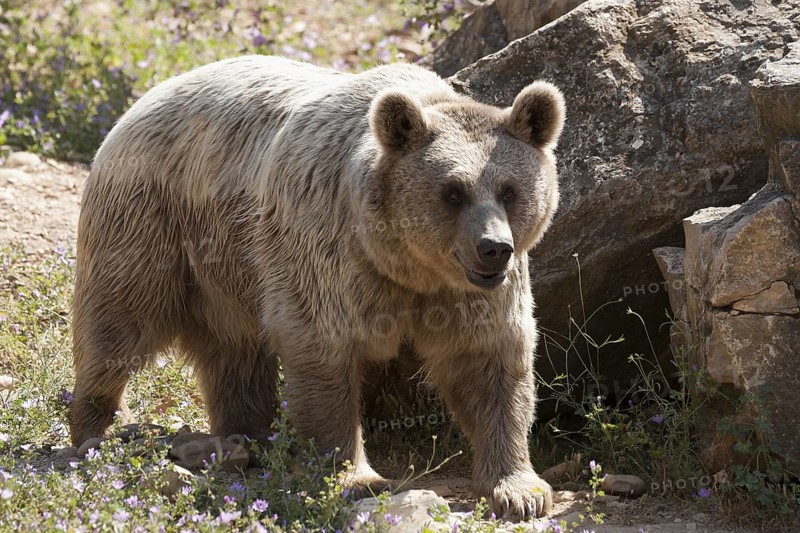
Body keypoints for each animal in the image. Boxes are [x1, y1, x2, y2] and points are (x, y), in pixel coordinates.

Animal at [70, 55, 565, 519]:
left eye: (509, 190)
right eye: (453, 191)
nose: (493, 248)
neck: (406, 267)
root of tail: (147, 97)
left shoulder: (468, 294)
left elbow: (488, 363)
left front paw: (519, 489)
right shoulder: (326, 250)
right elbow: (322, 350)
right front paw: (355, 477)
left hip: (229, 272)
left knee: (235, 353)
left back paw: (249, 435)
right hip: (155, 223)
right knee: (118, 318)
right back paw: (97, 427)